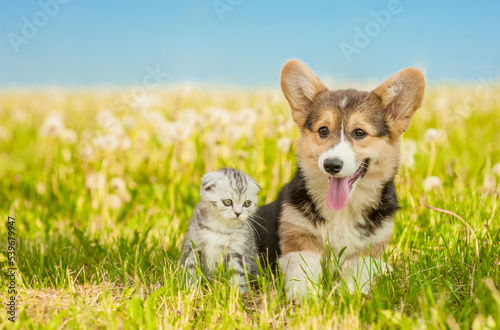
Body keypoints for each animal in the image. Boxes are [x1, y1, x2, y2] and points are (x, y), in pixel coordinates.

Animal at [256, 60, 424, 302]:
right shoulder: (298, 239)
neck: (343, 210)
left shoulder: (367, 251)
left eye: (360, 133)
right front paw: (306, 300)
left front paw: (350, 299)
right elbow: (303, 270)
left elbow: (357, 276)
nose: (332, 165)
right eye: (323, 130)